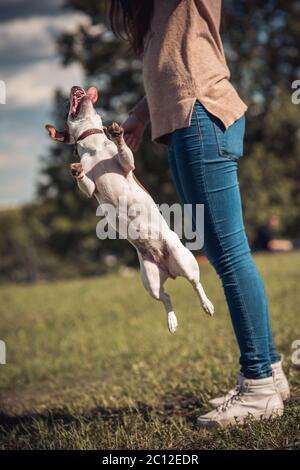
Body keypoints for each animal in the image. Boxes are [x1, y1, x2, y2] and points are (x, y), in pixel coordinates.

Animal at [45, 86, 214, 332]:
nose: (76, 87)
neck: (94, 144)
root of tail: (169, 270)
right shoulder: (90, 189)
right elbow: (85, 182)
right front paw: (77, 171)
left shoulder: (126, 165)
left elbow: (124, 153)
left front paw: (118, 136)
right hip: (150, 282)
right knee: (166, 298)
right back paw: (171, 321)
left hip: (184, 261)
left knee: (196, 284)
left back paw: (206, 304)